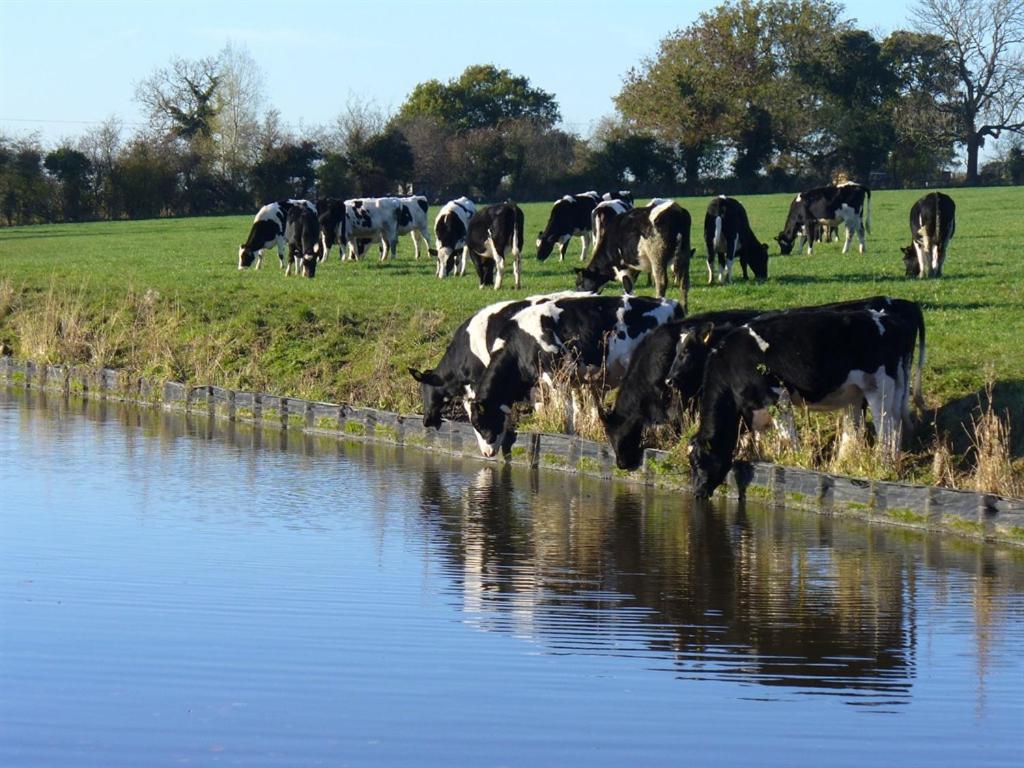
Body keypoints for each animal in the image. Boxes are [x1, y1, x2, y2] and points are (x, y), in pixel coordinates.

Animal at [468, 290, 679, 454]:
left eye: (480, 424)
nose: (486, 453)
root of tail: (671, 303)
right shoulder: (572, 379)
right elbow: (577, 407)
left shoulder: (556, 376)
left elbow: (566, 410)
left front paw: (566, 434)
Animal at [692, 307, 925, 499]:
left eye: (699, 462)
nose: (696, 493)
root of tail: (888, 318)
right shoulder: (755, 409)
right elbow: (762, 438)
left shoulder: (777, 398)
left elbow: (788, 438)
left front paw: (795, 463)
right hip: (865, 392)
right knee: (878, 428)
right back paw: (850, 464)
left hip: (879, 387)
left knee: (886, 428)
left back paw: (882, 465)